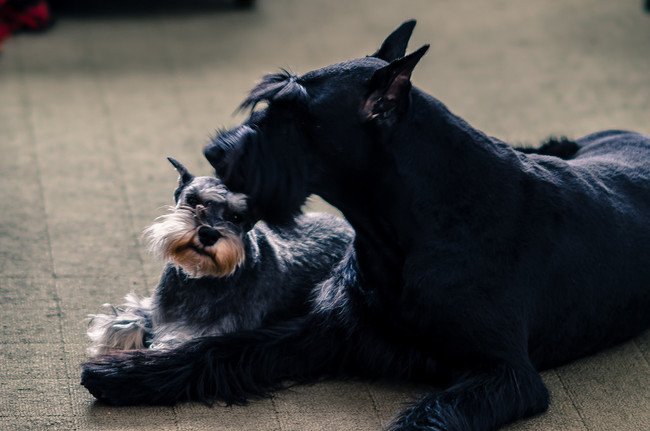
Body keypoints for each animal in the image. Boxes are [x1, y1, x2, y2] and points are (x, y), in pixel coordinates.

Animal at [87, 160, 354, 356]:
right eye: (192, 199)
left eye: (237, 217)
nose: (208, 233)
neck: (200, 277)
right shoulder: (157, 311)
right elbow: (126, 322)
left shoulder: (210, 333)